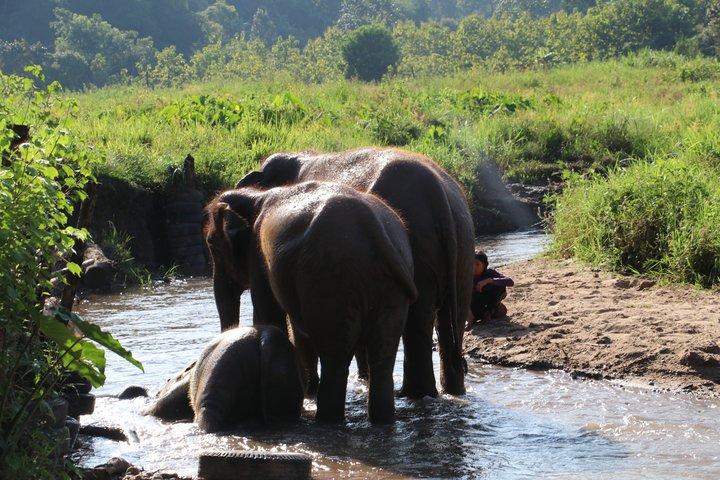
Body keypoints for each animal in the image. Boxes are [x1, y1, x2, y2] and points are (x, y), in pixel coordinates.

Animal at [204, 181, 417, 423]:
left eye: (212, 244)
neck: (254, 195)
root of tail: (370, 222)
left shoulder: (258, 255)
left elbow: (269, 314)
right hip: (389, 286)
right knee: (383, 355)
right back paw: (382, 421)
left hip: (329, 278)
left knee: (335, 358)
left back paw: (327, 420)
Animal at [234, 147, 474, 398]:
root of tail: (436, 190)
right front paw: (362, 379)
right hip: (462, 244)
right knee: (450, 317)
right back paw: (448, 392)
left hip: (419, 244)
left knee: (418, 319)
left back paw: (411, 394)